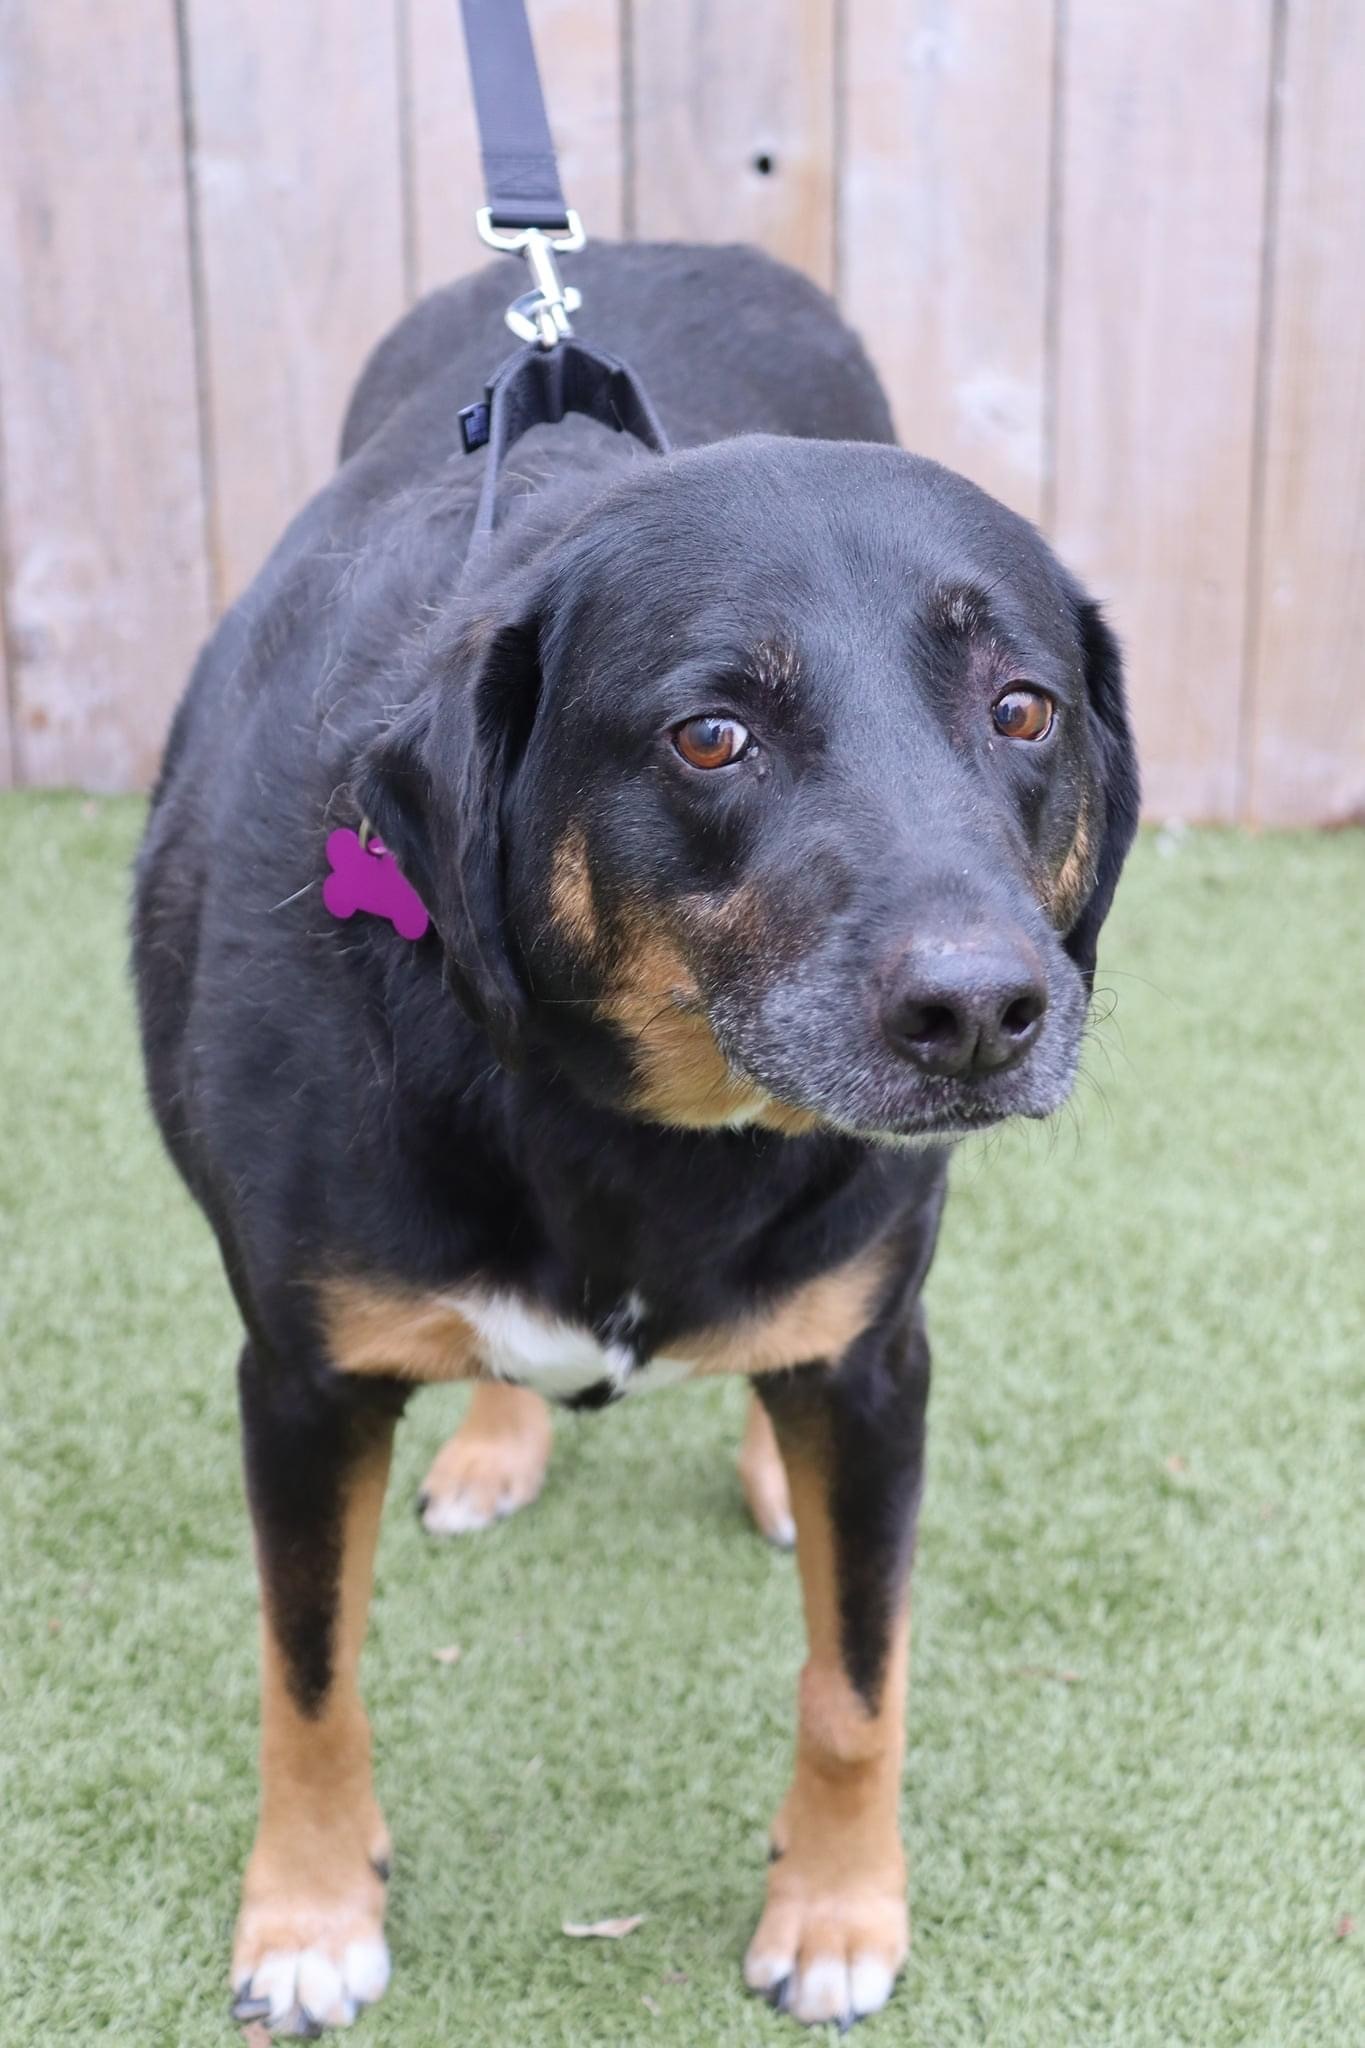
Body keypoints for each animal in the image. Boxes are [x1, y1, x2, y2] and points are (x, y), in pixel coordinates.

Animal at [136, 239, 1146, 2031]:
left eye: (1024, 709)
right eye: (711, 734)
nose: (981, 1012)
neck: (634, 1118)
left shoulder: (884, 1363)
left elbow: (857, 1677)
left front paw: (837, 1915)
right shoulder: (297, 1382)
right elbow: (308, 1671)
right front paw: (309, 1915)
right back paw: (495, 1439)